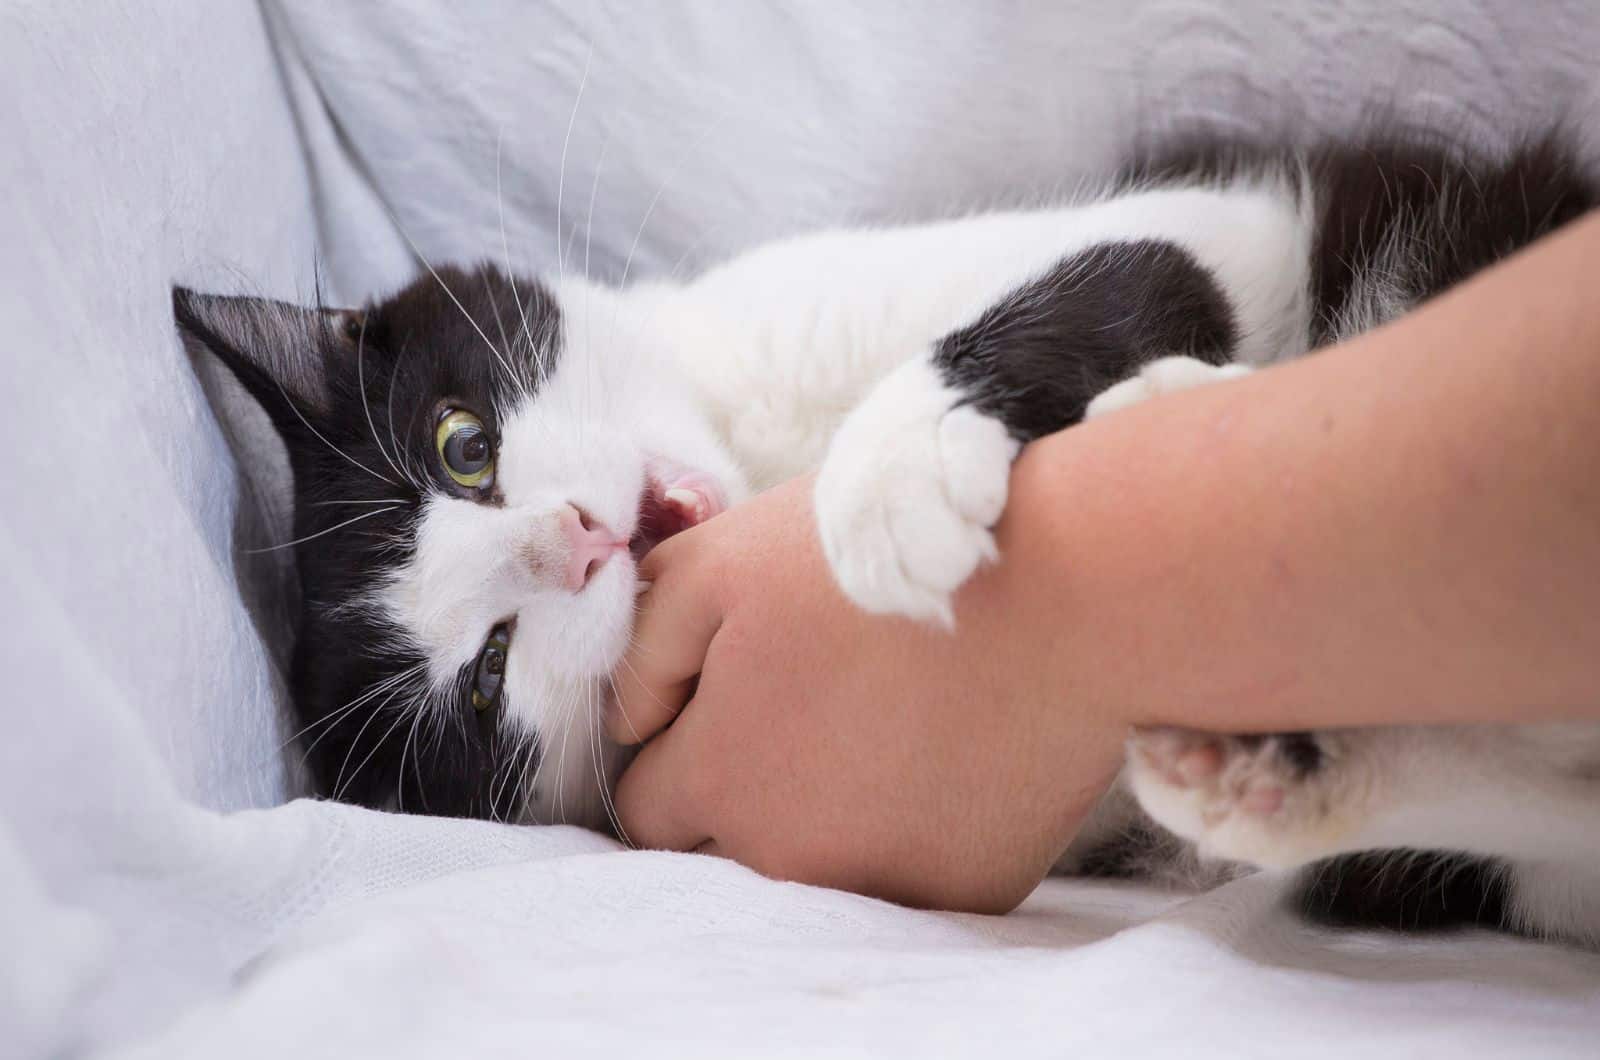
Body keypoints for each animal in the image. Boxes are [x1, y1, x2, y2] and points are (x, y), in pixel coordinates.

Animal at [175, 130, 1600, 947]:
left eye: (463, 445)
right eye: (484, 678)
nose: (572, 538)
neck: (764, 454)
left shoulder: (1224, 225)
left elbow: (1143, 261)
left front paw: (896, 465)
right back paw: (1261, 771)